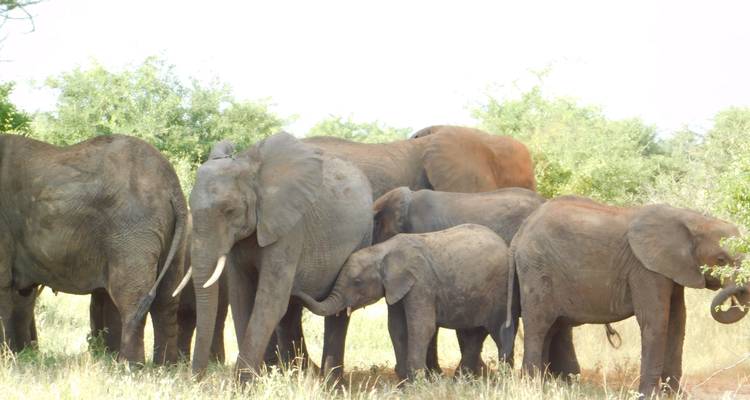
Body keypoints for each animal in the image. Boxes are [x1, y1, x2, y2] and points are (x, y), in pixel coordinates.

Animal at [0, 134, 188, 364]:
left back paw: (129, 366)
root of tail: (172, 186)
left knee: (132, 299)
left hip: (132, 230)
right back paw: (165, 366)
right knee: (167, 299)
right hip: (172, 234)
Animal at [187, 132, 373, 382]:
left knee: (337, 313)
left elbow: (270, 302)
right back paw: (298, 373)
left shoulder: (289, 227)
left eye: (229, 210)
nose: (197, 380)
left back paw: (330, 382)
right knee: (292, 311)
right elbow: (241, 297)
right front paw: (260, 378)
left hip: (363, 237)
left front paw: (243, 384)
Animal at [296, 224, 515, 380]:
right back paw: (460, 381)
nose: (295, 290)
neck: (383, 251)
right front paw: (404, 382)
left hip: (500, 290)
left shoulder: (421, 283)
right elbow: (396, 327)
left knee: (499, 331)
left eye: (357, 282)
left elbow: (422, 327)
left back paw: (504, 380)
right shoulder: (396, 289)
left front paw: (417, 383)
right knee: (471, 336)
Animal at [506, 196, 747, 396]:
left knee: (551, 327)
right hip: (536, 271)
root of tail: (518, 236)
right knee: (539, 325)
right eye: (721, 260)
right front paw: (650, 396)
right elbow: (656, 321)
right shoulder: (645, 269)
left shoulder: (672, 269)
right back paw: (532, 387)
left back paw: (540, 385)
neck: (692, 218)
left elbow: (678, 322)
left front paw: (678, 395)